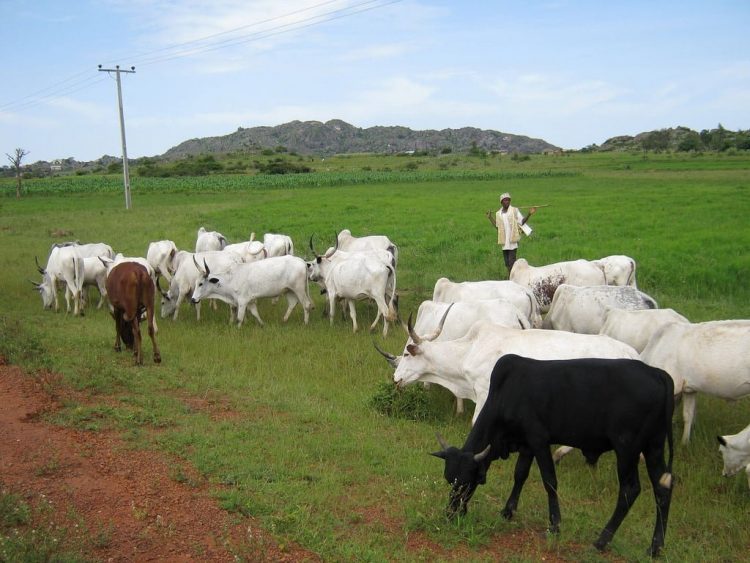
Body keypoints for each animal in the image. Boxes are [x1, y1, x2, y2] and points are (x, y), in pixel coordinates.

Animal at [434, 354, 676, 556]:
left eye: (466, 482)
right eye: (448, 480)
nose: (451, 513)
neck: (507, 392)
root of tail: (656, 372)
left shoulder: (539, 440)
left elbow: (549, 481)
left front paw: (554, 526)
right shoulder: (527, 445)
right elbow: (520, 474)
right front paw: (507, 511)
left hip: (626, 449)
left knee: (630, 489)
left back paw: (601, 541)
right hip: (654, 446)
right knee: (662, 490)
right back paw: (655, 547)